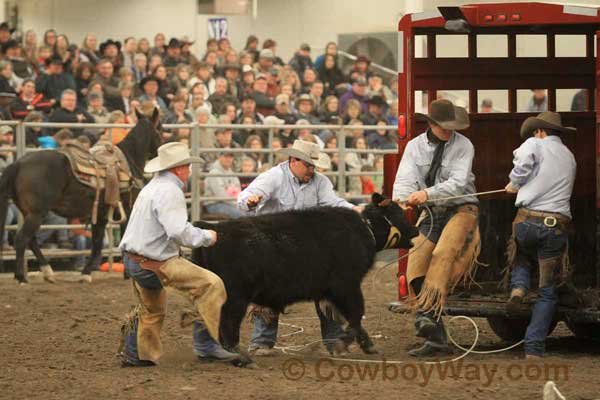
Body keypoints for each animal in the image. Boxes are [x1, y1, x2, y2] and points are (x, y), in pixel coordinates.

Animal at [0, 108, 162, 282]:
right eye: (160, 129)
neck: (128, 161)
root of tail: (18, 163)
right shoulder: (128, 209)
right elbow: (121, 241)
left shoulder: (101, 215)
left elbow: (97, 244)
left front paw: (87, 273)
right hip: (37, 214)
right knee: (22, 239)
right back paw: (21, 277)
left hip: (29, 213)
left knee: (31, 241)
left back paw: (48, 272)